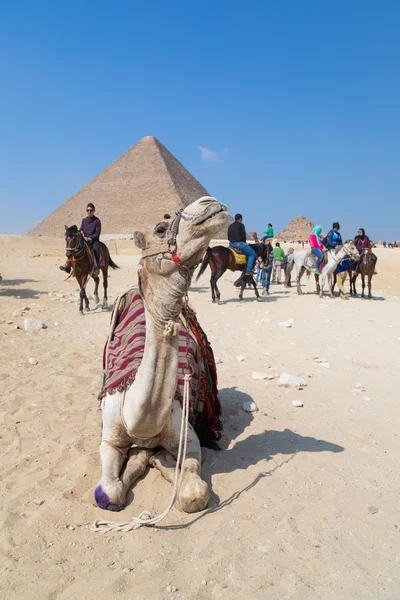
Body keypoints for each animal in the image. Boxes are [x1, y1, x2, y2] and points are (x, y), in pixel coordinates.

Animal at [94, 198, 230, 516]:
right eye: (159, 228)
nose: (210, 203)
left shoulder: (187, 436)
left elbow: (193, 494)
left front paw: (161, 462)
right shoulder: (109, 439)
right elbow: (109, 493)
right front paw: (141, 463)